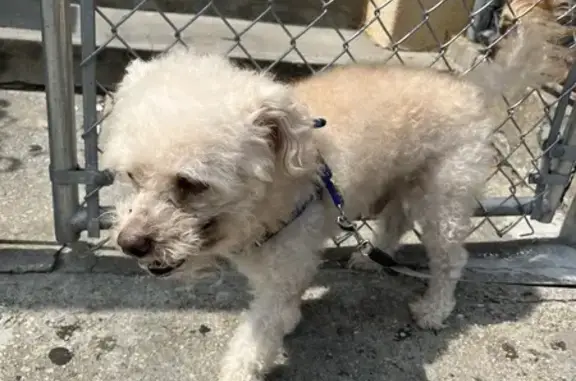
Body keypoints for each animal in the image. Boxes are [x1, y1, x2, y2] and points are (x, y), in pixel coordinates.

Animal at [101, 27, 552, 380]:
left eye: (190, 184)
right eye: (131, 175)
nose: (130, 244)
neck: (271, 193)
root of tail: (469, 88)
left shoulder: (284, 268)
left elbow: (258, 336)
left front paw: (243, 364)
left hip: (443, 197)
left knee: (450, 259)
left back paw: (434, 309)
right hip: (401, 179)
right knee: (394, 222)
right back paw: (373, 257)